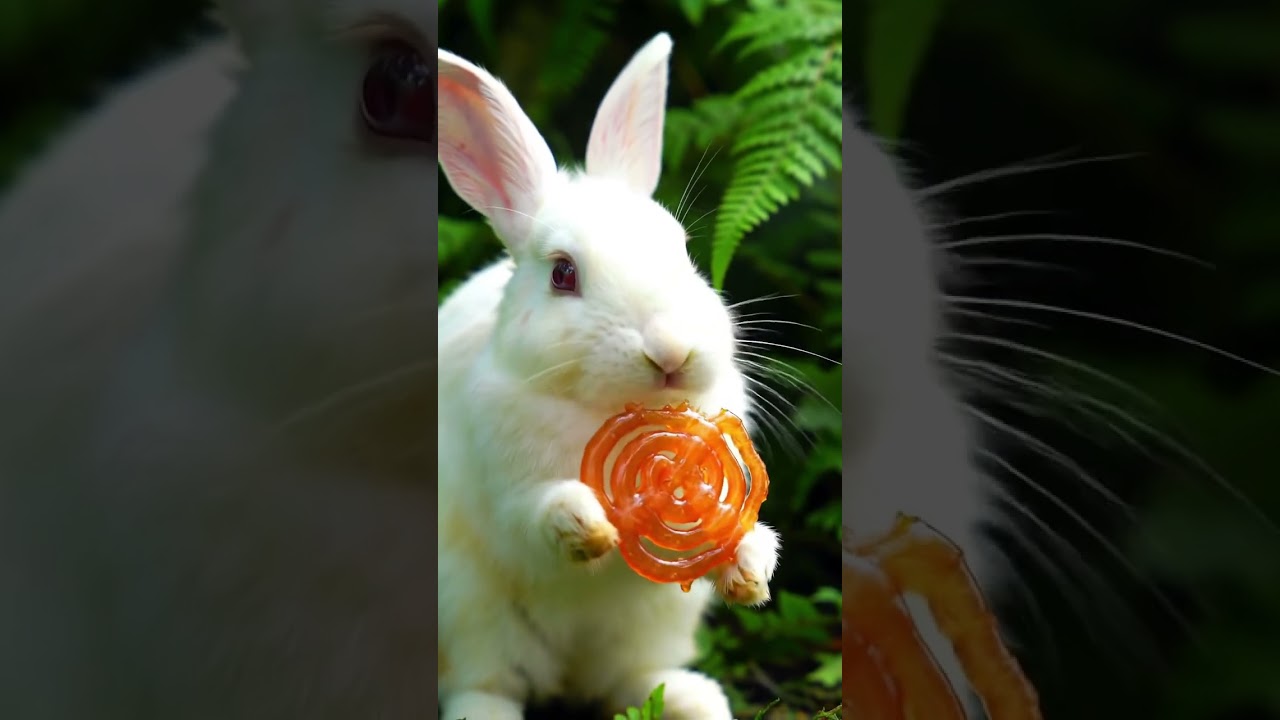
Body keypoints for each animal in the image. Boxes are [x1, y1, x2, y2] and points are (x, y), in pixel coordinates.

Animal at [435, 33, 781, 720]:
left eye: (683, 251)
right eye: (563, 273)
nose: (670, 350)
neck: (603, 412)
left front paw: (751, 570)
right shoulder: (506, 493)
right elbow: (536, 519)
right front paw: (585, 522)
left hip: (651, 626)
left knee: (629, 680)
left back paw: (697, 700)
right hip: (469, 611)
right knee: (484, 683)